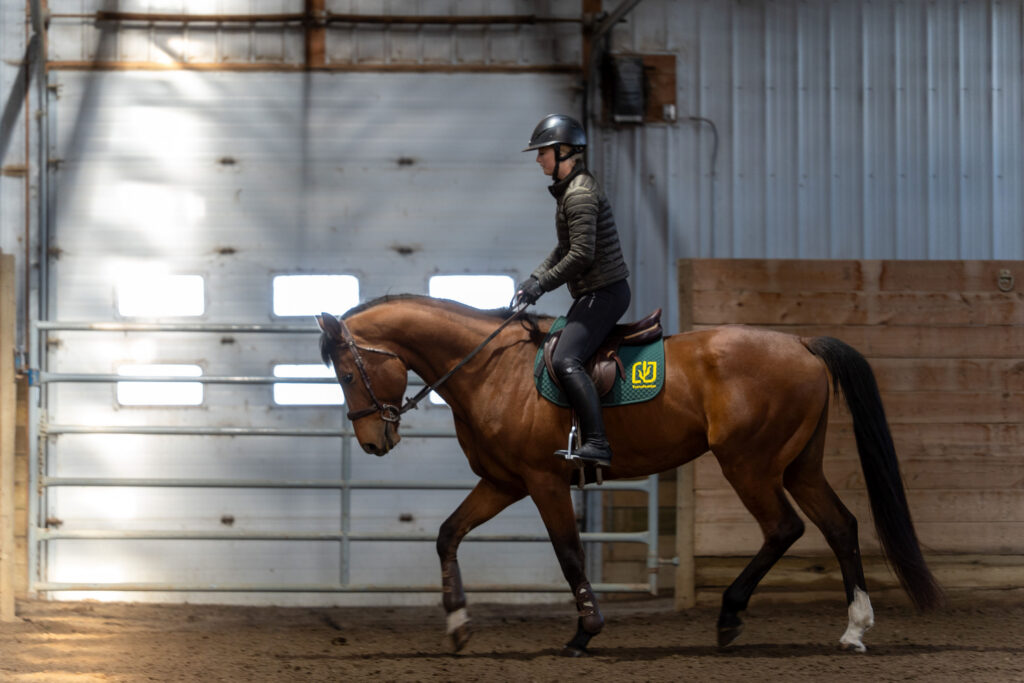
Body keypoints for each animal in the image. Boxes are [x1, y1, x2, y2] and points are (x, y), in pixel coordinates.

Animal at [316, 294, 942, 656]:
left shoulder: (543, 482)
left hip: (750, 464)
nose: (373, 442)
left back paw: (730, 617)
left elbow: (569, 553)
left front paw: (584, 632)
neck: (493, 370)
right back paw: (854, 628)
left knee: (784, 529)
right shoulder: (503, 483)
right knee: (840, 526)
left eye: (347, 371)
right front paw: (457, 625)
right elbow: (448, 534)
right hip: (798, 465)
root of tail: (803, 344)